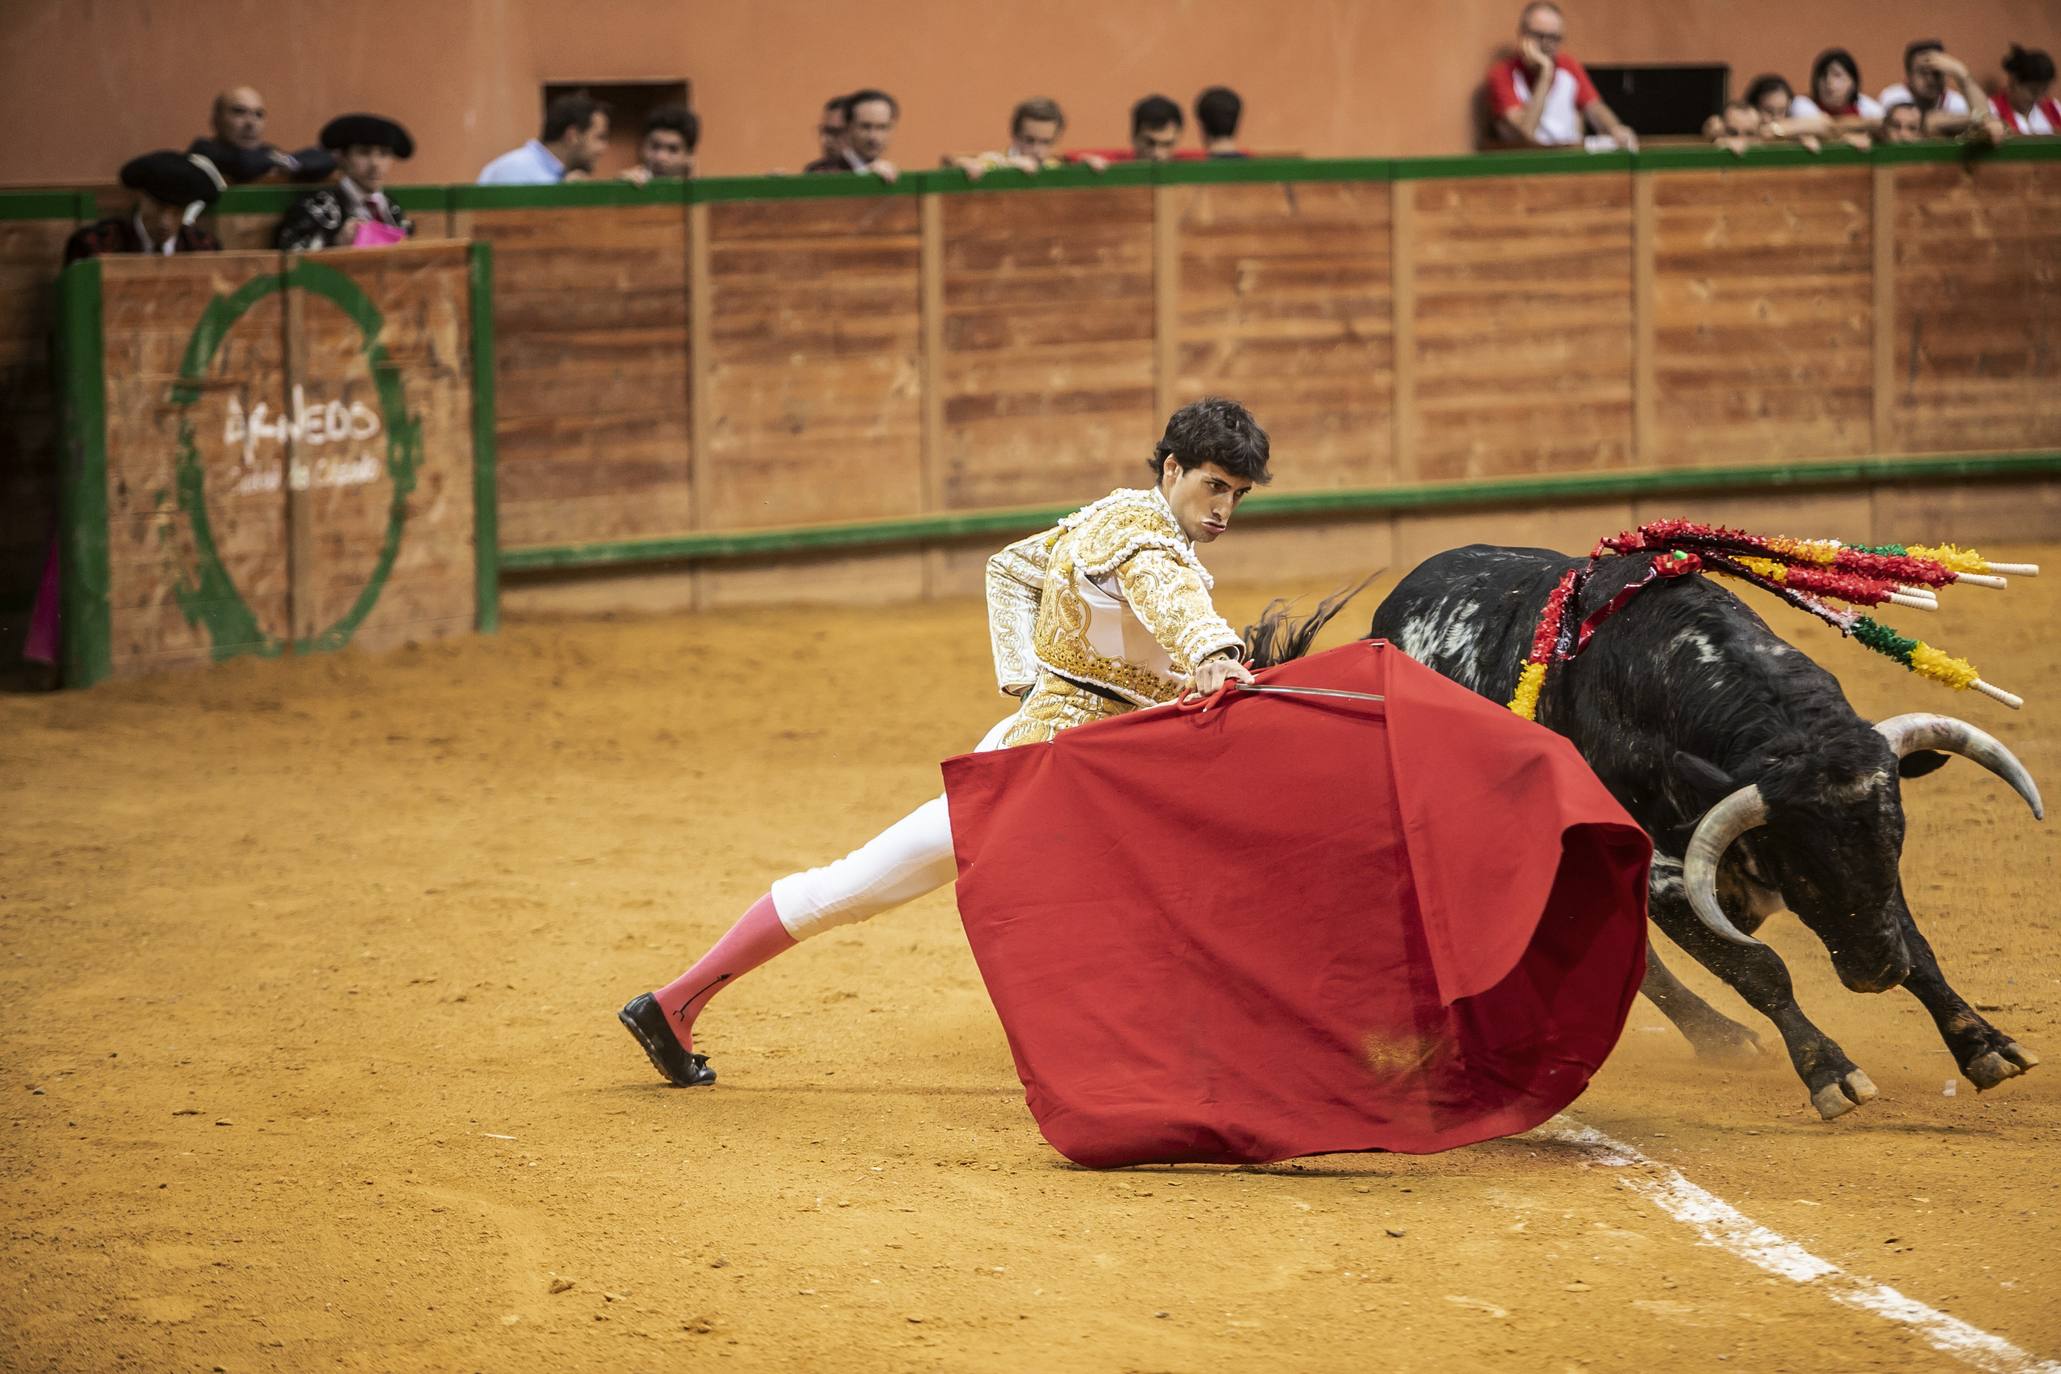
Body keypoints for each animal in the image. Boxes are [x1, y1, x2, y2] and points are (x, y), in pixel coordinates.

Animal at [1352, 543, 2044, 1120]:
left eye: (1894, 844)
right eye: (1803, 867)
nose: (1877, 972)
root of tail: (1385, 623)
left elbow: (1914, 939)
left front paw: (1984, 1043)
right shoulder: (1669, 881)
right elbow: (1760, 969)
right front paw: (1831, 1073)